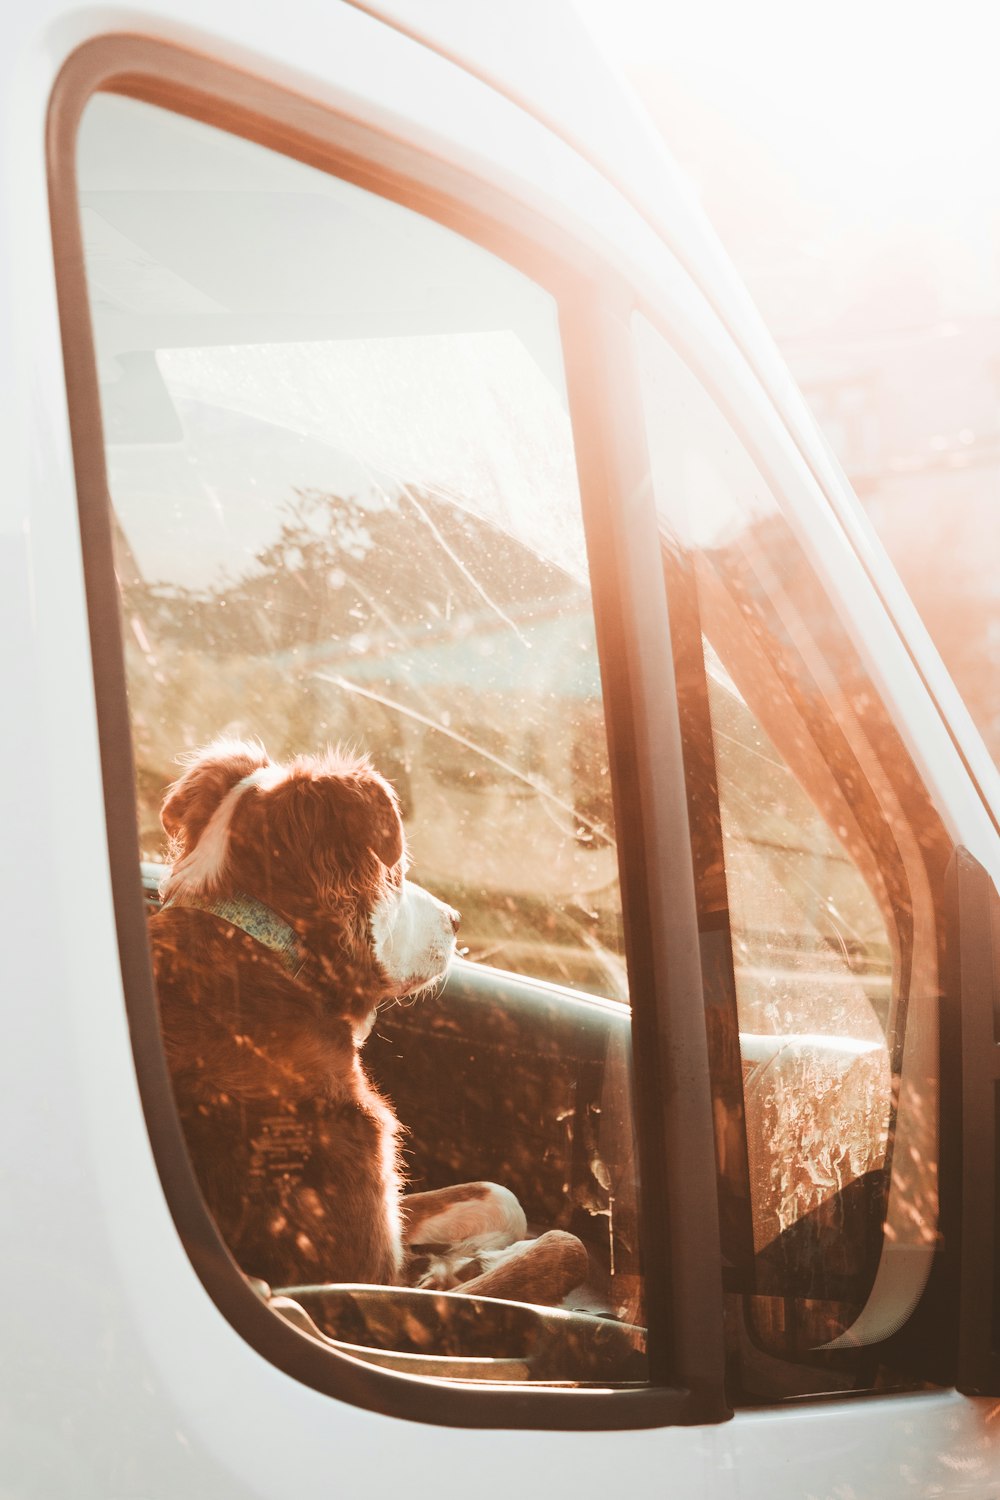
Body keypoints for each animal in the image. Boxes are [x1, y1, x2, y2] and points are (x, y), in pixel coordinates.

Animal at [148, 744, 587, 1308]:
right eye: (394, 872)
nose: (457, 919)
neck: (272, 954)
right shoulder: (360, 1277)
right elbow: (562, 1248)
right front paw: (467, 1268)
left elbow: (501, 1195)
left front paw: (463, 1259)